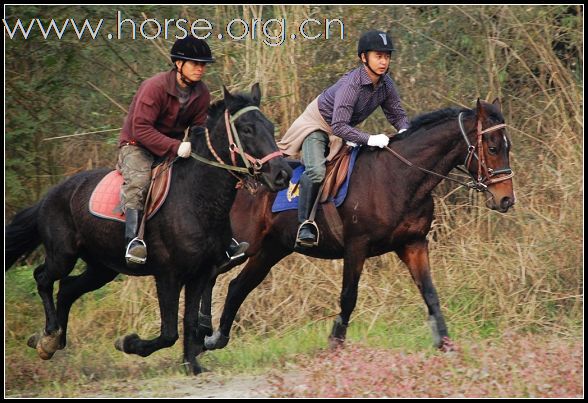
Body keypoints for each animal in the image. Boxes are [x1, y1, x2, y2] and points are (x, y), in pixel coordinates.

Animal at [2, 84, 292, 376]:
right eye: (247, 129)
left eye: (269, 126)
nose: (282, 174)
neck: (197, 196)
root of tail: (48, 196)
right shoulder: (168, 275)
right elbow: (168, 333)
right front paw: (128, 343)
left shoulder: (200, 274)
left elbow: (188, 323)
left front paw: (192, 365)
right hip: (63, 255)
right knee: (43, 278)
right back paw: (50, 334)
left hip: (102, 267)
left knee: (67, 289)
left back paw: (52, 342)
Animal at [198, 98, 516, 354]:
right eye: (492, 147)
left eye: (507, 147)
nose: (506, 200)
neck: (399, 176)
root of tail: (241, 181)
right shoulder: (356, 246)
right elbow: (349, 298)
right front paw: (335, 344)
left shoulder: (413, 244)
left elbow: (430, 294)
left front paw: (446, 344)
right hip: (241, 245)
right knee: (209, 274)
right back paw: (200, 334)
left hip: (269, 250)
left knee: (237, 287)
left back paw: (215, 338)